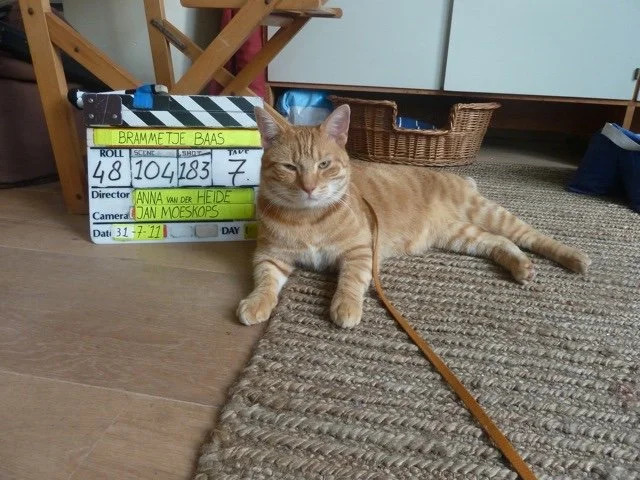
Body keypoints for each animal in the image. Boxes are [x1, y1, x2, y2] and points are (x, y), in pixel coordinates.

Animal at [237, 105, 591, 328]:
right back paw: (521, 265)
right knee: (499, 242)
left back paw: (574, 257)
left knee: (530, 236)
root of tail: (459, 178)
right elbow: (265, 280)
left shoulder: (360, 251)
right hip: (459, 235)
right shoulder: (269, 255)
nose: (309, 187)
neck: (308, 218)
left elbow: (350, 281)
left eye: (324, 165)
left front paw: (346, 306)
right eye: (289, 167)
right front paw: (256, 302)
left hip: (488, 213)